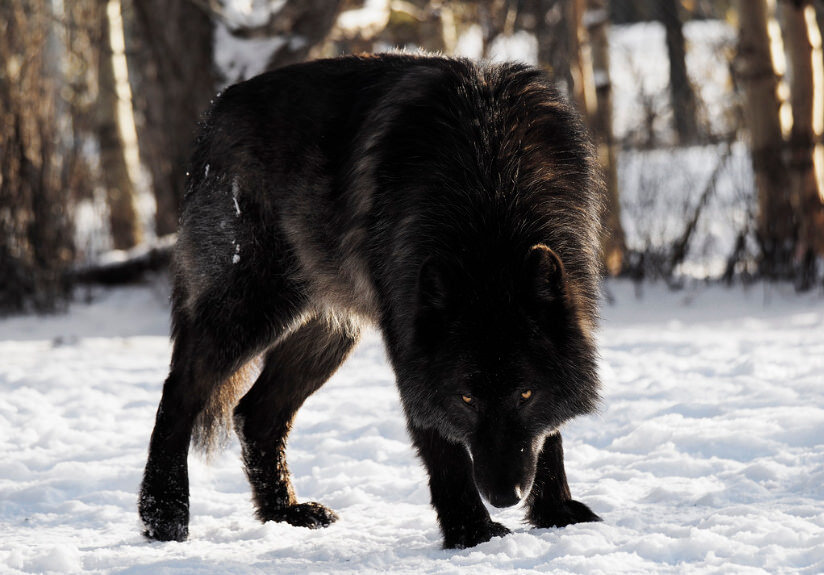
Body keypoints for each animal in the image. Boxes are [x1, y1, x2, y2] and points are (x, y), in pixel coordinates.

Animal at [140, 55, 604, 552]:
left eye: (525, 394)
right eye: (465, 398)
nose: (504, 496)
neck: (492, 186)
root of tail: (217, 109)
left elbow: (548, 435)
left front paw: (555, 514)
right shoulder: (410, 347)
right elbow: (441, 446)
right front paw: (471, 533)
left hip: (328, 334)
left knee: (254, 413)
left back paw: (285, 512)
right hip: (252, 309)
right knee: (180, 391)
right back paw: (163, 515)